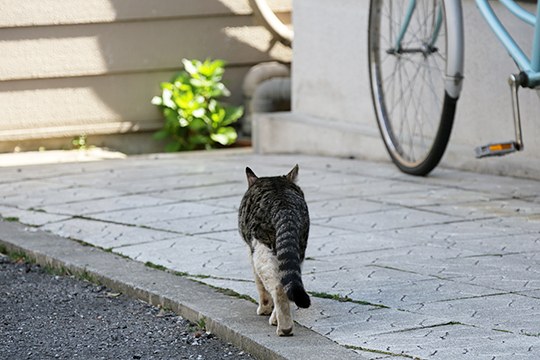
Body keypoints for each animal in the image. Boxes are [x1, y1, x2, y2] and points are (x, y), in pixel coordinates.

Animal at [238, 165, 310, 336]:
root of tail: (284, 205)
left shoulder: (251, 252)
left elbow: (260, 286)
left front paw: (264, 308)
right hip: (298, 247)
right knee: (286, 281)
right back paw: (277, 319)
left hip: (261, 249)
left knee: (278, 287)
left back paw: (284, 327)